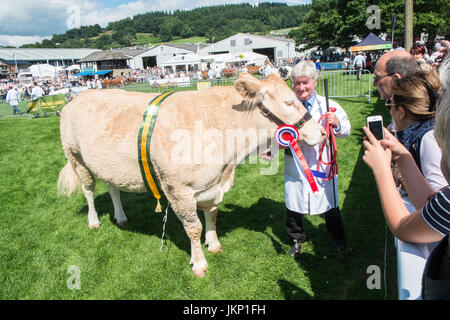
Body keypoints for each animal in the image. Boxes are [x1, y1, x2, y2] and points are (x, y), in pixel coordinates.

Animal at [57, 72, 324, 278]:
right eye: (289, 102)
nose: (321, 132)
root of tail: (75, 99)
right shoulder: (179, 190)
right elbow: (193, 228)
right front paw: (199, 264)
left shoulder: (212, 186)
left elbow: (212, 216)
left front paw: (214, 244)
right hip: (76, 157)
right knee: (89, 190)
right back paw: (94, 221)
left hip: (110, 166)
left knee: (113, 189)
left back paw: (121, 217)